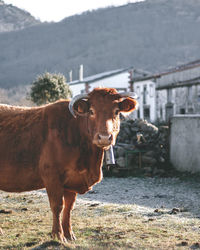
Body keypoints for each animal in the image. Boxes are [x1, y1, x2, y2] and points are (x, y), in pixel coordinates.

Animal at [0, 87, 138, 242]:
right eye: (91, 111)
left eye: (116, 111)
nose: (104, 137)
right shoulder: (52, 176)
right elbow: (57, 206)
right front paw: (58, 235)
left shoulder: (72, 180)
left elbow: (69, 207)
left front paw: (69, 234)